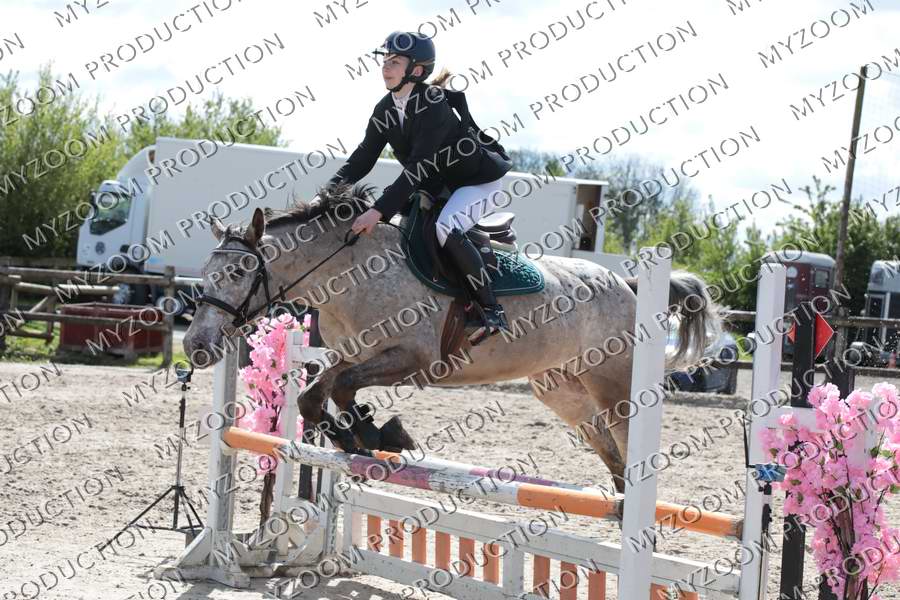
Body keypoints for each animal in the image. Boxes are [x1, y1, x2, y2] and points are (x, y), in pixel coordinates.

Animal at [183, 184, 721, 493]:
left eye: (238, 272)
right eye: (207, 272)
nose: (196, 347)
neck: (348, 273)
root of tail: (625, 283)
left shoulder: (412, 358)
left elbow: (340, 389)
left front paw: (377, 436)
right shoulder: (351, 354)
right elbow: (318, 395)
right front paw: (364, 436)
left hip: (611, 381)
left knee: (626, 437)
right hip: (561, 389)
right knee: (605, 444)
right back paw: (618, 500)